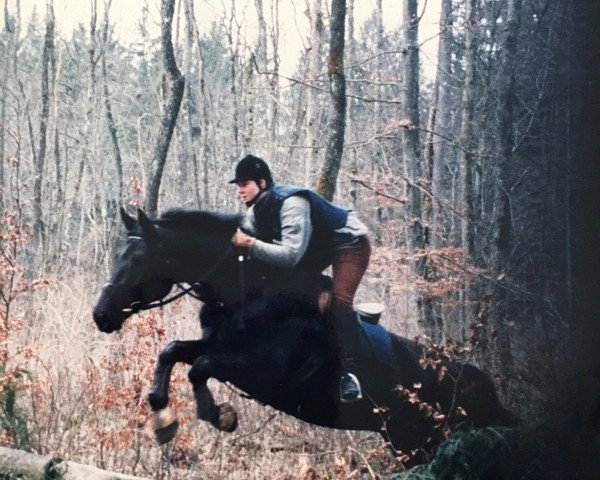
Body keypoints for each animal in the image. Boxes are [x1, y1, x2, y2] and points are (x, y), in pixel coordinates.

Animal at [94, 208, 516, 464]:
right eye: (116, 255)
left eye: (140, 259)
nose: (101, 315)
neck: (247, 292)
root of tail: (486, 389)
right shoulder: (219, 345)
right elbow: (173, 351)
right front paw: (163, 417)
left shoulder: (268, 374)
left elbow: (201, 366)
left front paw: (219, 415)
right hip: (406, 440)